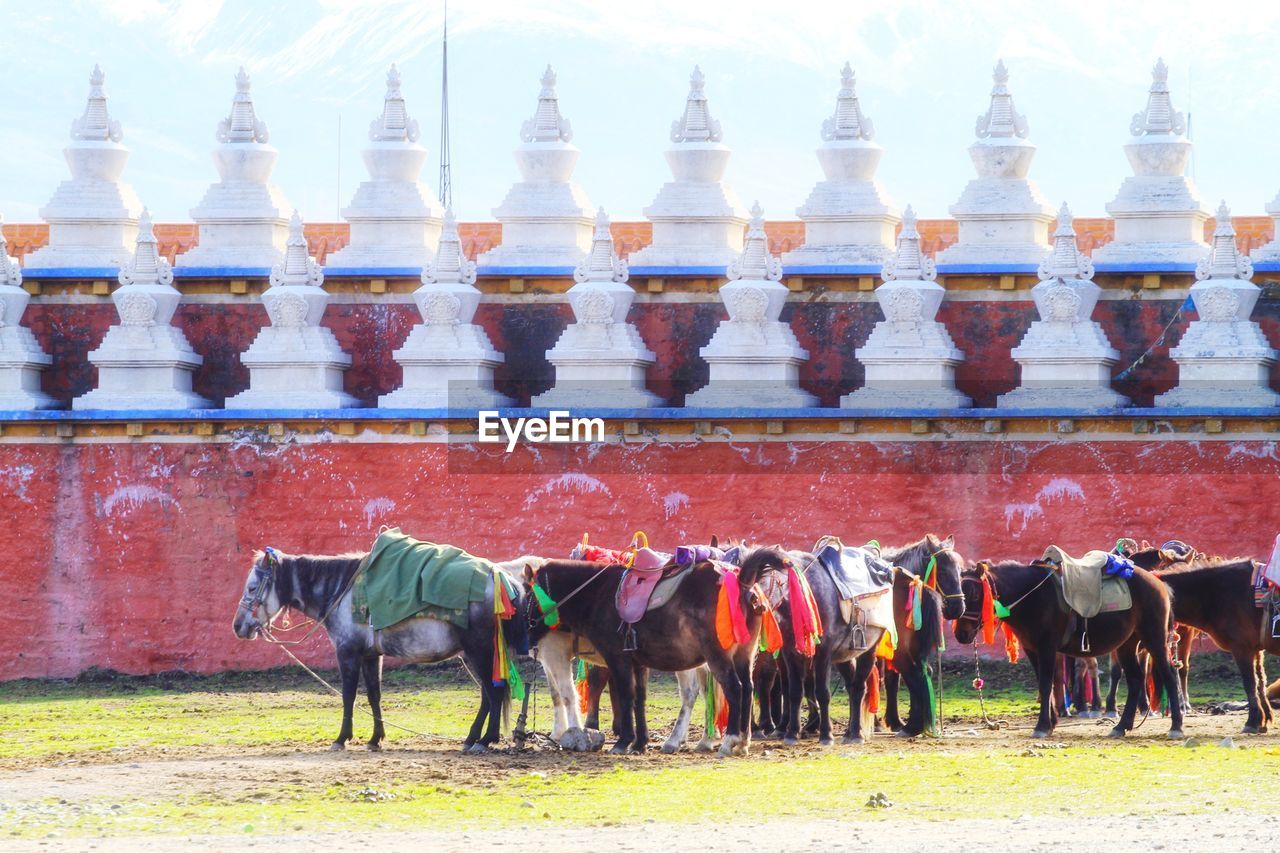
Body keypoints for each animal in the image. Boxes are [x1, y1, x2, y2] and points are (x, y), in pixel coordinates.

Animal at [522, 540, 788, 753]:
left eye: (528, 594)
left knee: (734, 688)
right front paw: (640, 742)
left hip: (717, 655)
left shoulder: (617, 658)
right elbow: (640, 698)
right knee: (748, 688)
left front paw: (623, 742)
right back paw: (742, 741)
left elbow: (626, 695)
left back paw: (729, 740)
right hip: (744, 654)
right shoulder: (638, 662)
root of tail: (742, 579)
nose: (528, 632)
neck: (599, 594)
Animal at [957, 558, 1182, 737]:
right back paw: (1121, 726)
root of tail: (1159, 583)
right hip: (1127, 644)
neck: (1031, 596)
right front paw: (1051, 722)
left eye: (975, 594)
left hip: (1155, 640)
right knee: (1135, 679)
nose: (961, 634)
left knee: (1169, 675)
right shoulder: (1032, 650)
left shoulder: (1047, 647)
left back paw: (1176, 726)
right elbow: (1045, 684)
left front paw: (1042, 726)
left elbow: (1046, 684)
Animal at [1136, 545, 1274, 732]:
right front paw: (1261, 719)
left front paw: (1253, 721)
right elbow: (1259, 681)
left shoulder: (1243, 647)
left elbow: (1251, 682)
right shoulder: (1253, 649)